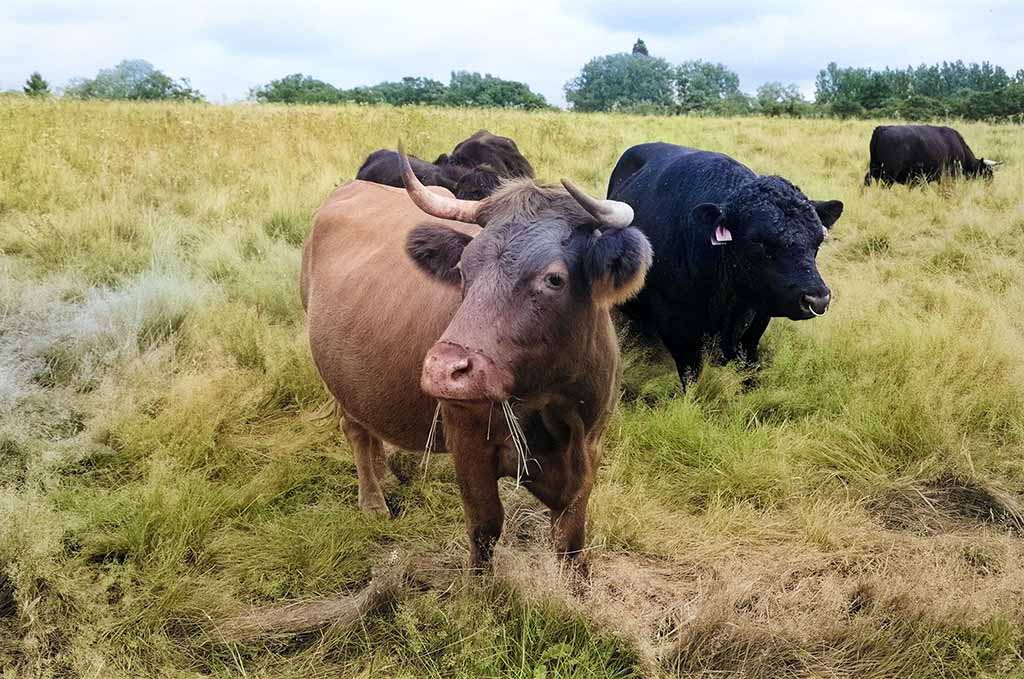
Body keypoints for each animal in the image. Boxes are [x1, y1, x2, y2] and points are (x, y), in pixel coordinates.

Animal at [302, 154, 652, 568]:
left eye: (554, 279)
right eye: (462, 270)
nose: (442, 370)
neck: (554, 408)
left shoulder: (589, 452)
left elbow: (571, 539)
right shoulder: (468, 445)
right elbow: (485, 528)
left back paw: (385, 475)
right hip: (335, 376)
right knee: (355, 429)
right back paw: (373, 501)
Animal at [607, 142, 844, 387]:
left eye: (819, 240)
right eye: (757, 241)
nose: (817, 299)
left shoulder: (758, 317)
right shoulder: (675, 325)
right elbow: (692, 376)